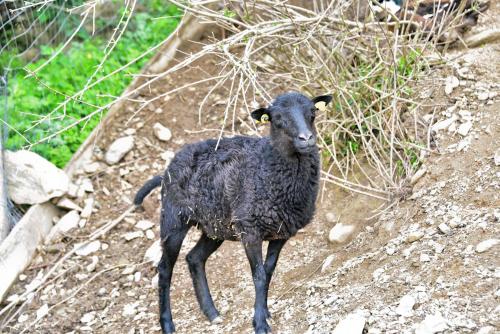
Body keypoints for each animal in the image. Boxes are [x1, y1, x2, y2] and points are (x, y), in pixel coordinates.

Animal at [135, 91, 334, 334]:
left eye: (312, 112)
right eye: (277, 119)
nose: (306, 139)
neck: (268, 167)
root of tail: (165, 173)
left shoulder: (281, 232)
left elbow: (268, 270)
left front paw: (264, 311)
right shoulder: (250, 230)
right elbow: (258, 275)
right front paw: (260, 323)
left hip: (214, 226)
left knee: (194, 258)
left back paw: (211, 313)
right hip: (174, 219)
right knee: (164, 270)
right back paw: (167, 324)